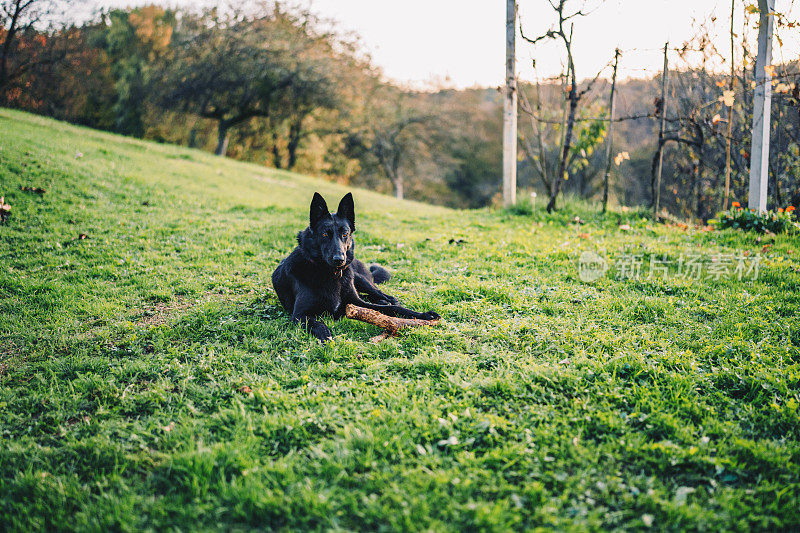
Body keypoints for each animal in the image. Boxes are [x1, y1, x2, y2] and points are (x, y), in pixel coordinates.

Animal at [274, 191, 438, 340]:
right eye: (325, 234)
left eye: (345, 233)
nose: (339, 259)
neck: (330, 273)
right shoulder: (300, 315)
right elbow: (318, 325)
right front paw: (326, 337)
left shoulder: (355, 302)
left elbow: (392, 308)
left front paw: (422, 315)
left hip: (360, 279)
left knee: (381, 294)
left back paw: (385, 299)